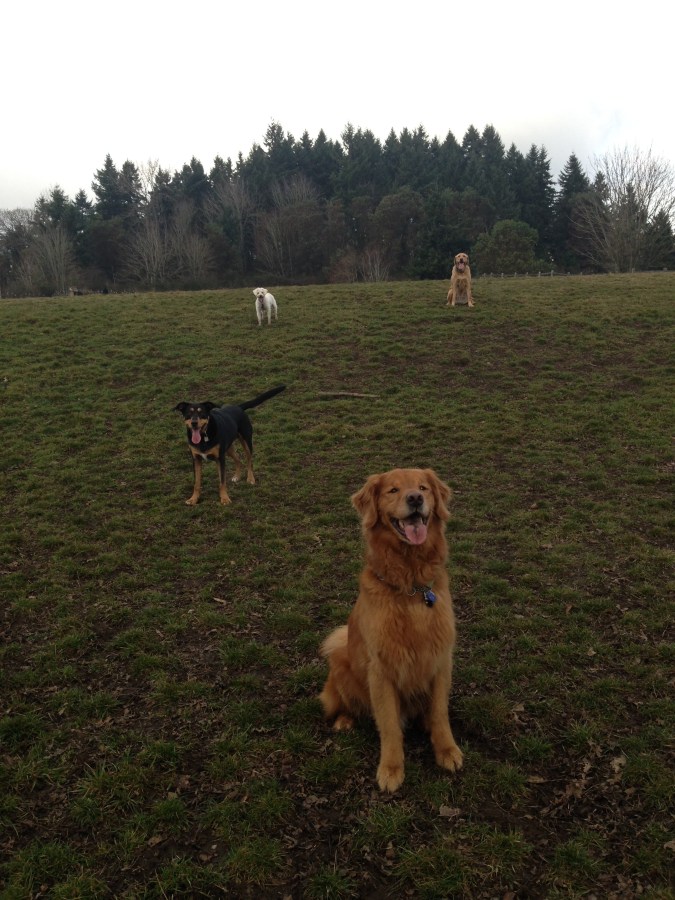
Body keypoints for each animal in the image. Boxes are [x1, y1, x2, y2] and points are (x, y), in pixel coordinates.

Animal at [319, 468, 463, 792]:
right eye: (393, 490)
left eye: (423, 487)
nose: (415, 498)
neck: (411, 587)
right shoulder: (381, 670)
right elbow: (389, 725)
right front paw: (391, 768)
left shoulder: (441, 659)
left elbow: (439, 713)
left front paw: (446, 750)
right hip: (340, 662)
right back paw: (344, 721)